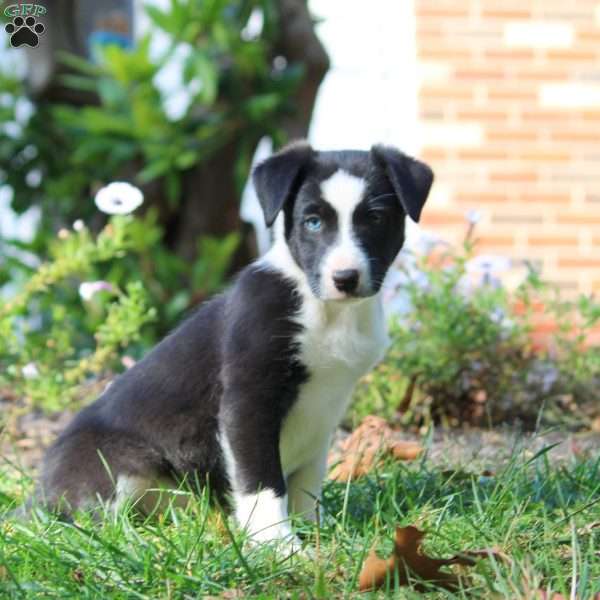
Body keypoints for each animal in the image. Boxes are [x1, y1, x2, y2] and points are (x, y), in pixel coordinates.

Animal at [36, 143, 432, 548]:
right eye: (313, 222)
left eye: (375, 218)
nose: (345, 278)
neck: (323, 308)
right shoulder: (248, 400)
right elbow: (263, 481)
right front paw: (279, 544)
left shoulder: (324, 413)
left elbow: (307, 484)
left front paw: (315, 534)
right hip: (116, 468)